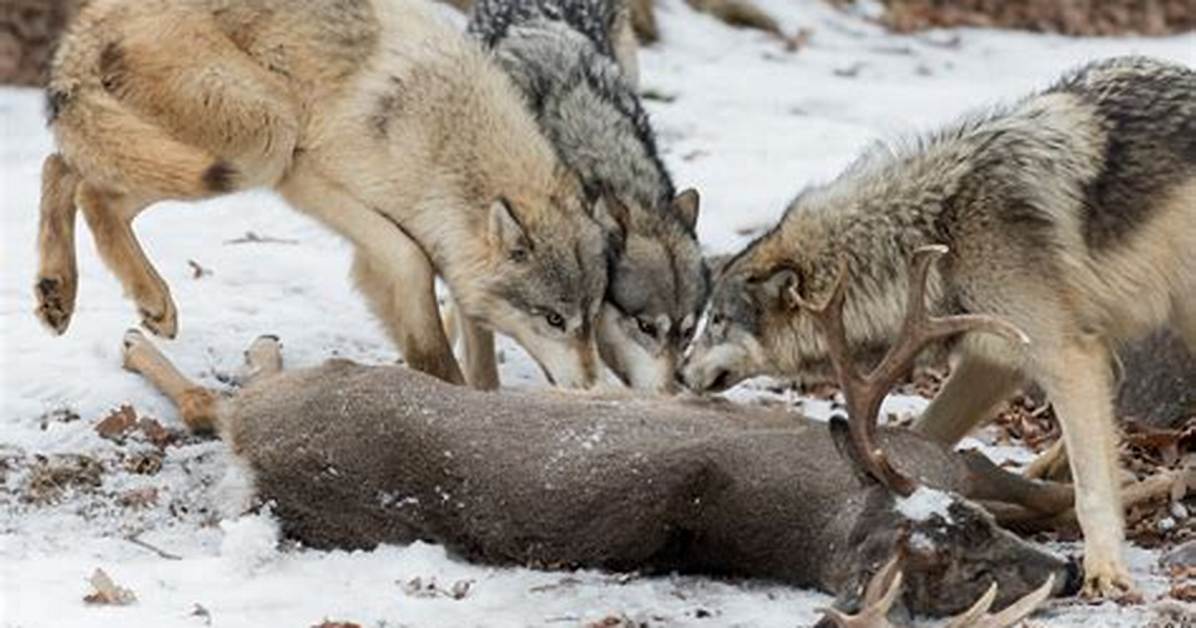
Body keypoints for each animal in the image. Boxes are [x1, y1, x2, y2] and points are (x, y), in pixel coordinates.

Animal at [35, 0, 615, 388]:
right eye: (555, 320)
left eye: (590, 322)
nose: (592, 385)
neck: (444, 149)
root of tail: (88, 22)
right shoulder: (309, 179)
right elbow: (413, 273)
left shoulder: (452, 257)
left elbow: (480, 348)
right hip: (264, 142)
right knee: (85, 186)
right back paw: (139, 299)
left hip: (218, 157)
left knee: (67, 172)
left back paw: (61, 295)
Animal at [679, 56, 1196, 598]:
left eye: (718, 321)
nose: (681, 373)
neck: (934, 232)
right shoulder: (993, 361)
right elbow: (921, 435)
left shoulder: (1064, 356)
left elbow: (1092, 491)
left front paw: (1105, 570)